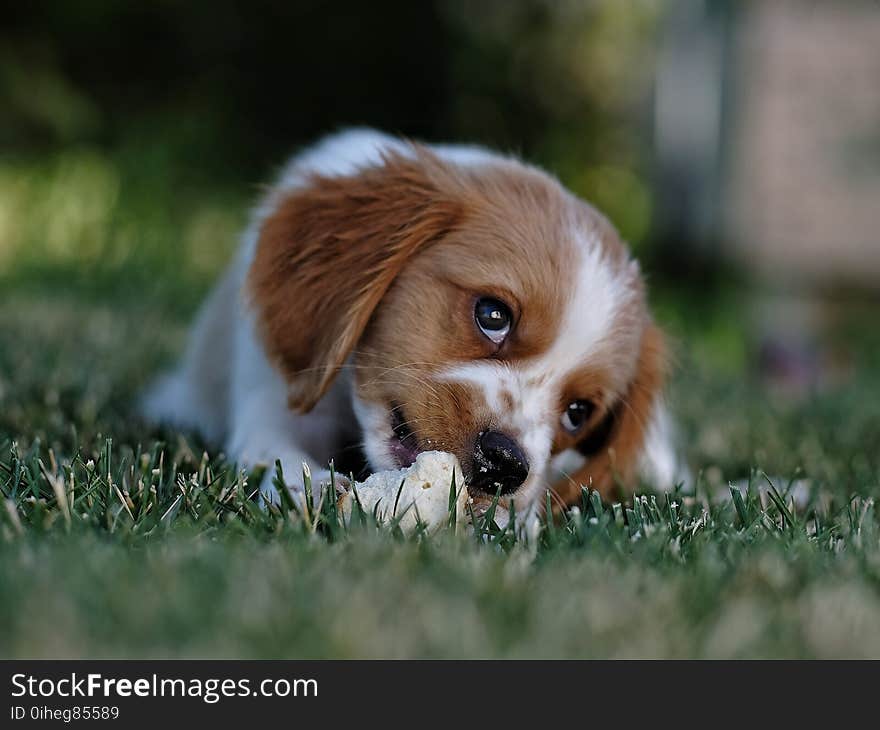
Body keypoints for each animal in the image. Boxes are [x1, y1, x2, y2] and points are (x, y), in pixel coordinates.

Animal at [141, 129, 684, 516]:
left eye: (578, 413)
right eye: (492, 315)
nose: (506, 465)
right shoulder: (273, 397)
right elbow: (277, 453)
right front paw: (315, 488)